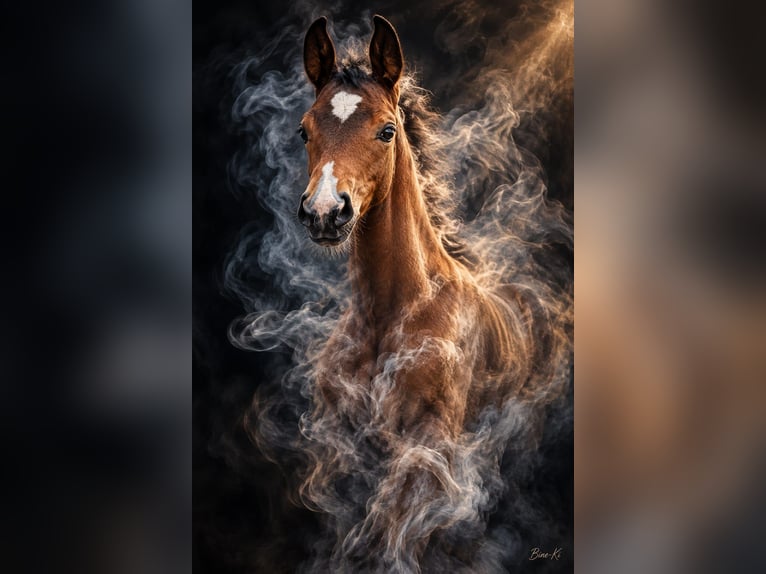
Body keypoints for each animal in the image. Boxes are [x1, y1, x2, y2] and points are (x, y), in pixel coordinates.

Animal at [253, 15, 568, 572]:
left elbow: (391, 538)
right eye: (304, 130)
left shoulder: (429, 447)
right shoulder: (336, 445)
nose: (325, 212)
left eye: (387, 130)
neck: (391, 314)